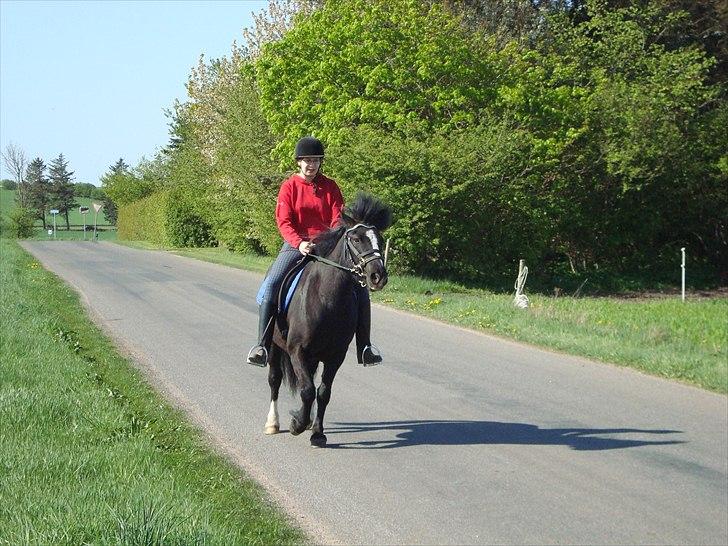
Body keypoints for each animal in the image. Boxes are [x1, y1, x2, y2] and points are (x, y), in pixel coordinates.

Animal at [264, 193, 396, 444]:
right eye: (355, 239)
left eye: (379, 239)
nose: (378, 276)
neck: (326, 299)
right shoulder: (297, 350)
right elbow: (307, 391)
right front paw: (297, 424)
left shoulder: (335, 356)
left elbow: (323, 392)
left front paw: (317, 433)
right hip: (276, 347)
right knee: (275, 379)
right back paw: (273, 423)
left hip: (314, 356)